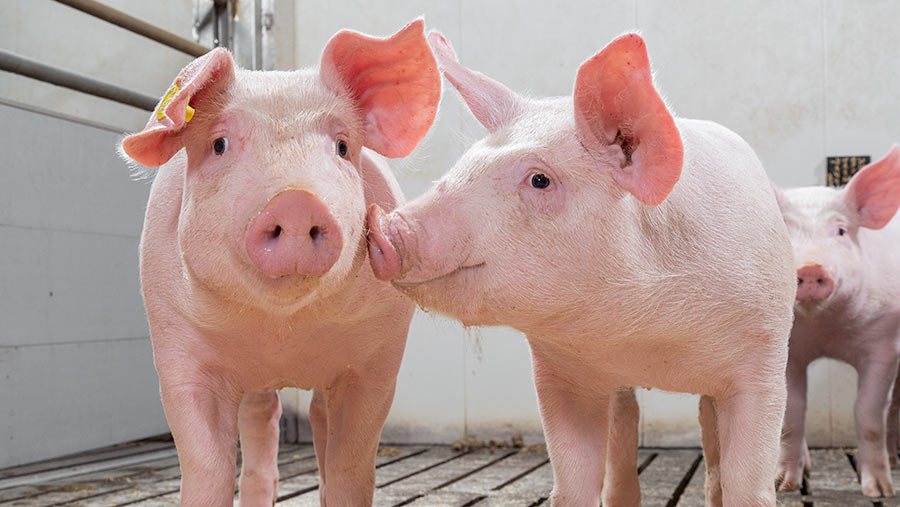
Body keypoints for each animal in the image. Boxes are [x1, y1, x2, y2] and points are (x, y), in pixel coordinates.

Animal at [117, 20, 440, 506]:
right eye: (219, 144)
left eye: (342, 147)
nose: (296, 201)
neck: (283, 332)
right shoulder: (177, 346)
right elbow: (206, 466)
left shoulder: (378, 360)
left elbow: (350, 468)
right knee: (262, 417)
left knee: (315, 416)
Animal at [367, 31, 795, 506]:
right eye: (463, 165)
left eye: (540, 180)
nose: (386, 224)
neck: (651, 341)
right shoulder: (559, 376)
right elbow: (573, 480)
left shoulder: (764, 359)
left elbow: (749, 482)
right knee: (625, 423)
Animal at [773, 146, 900, 497]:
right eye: (784, 230)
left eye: (841, 231)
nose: (811, 268)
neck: (824, 331)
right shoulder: (788, 351)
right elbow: (792, 413)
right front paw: (784, 486)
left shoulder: (884, 344)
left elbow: (868, 413)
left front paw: (879, 492)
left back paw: (894, 463)